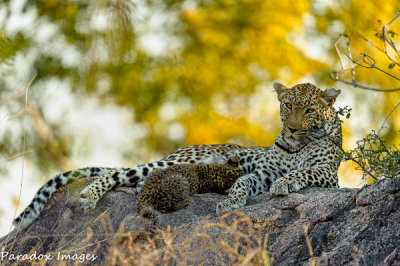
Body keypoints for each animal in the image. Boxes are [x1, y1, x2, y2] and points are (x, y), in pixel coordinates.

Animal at [14, 81, 342, 229]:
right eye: (288, 106)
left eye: (309, 111)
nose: (292, 128)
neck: (297, 146)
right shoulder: (261, 173)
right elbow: (243, 182)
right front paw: (232, 201)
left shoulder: (327, 174)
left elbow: (303, 170)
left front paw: (284, 183)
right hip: (175, 161)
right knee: (118, 173)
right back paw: (90, 196)